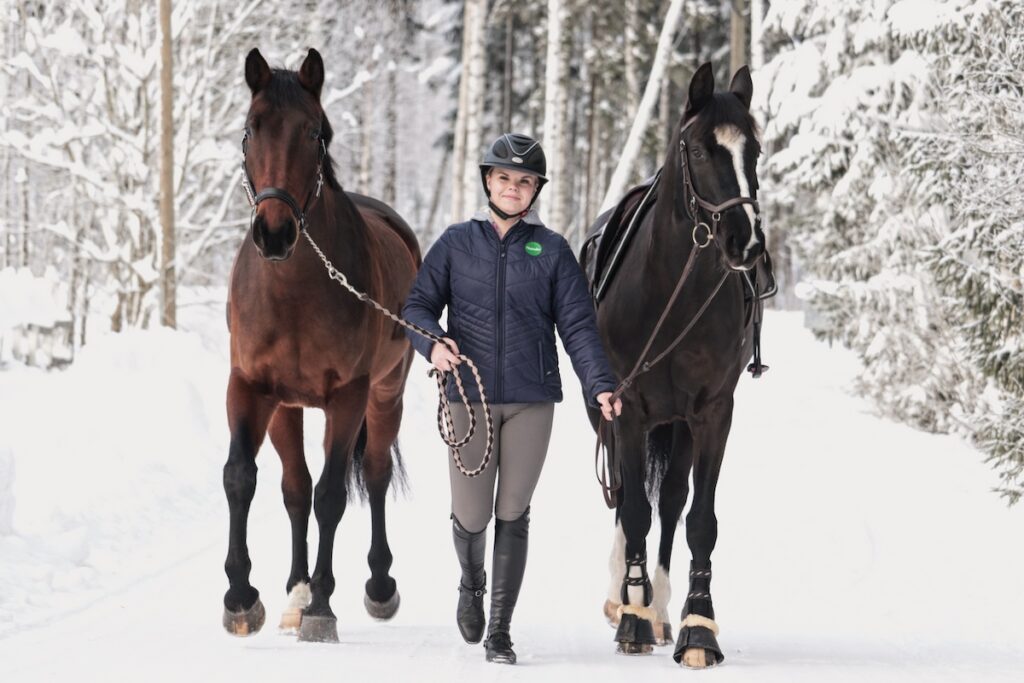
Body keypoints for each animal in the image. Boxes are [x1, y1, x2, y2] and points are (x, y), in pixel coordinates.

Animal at [223, 46, 419, 643]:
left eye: (313, 132)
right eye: (250, 128)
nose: (274, 233)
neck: (294, 292)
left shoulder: (348, 397)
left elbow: (333, 494)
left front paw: (323, 607)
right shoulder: (251, 389)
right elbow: (243, 478)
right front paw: (242, 597)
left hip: (385, 396)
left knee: (373, 476)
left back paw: (378, 586)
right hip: (287, 409)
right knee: (295, 489)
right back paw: (295, 589)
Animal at [581, 62, 765, 667]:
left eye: (755, 150)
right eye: (702, 150)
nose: (745, 241)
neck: (672, 292)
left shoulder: (712, 412)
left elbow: (697, 518)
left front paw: (696, 628)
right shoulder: (627, 408)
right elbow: (633, 508)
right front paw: (632, 618)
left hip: (679, 425)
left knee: (671, 503)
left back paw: (659, 608)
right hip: (610, 417)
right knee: (622, 496)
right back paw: (625, 596)